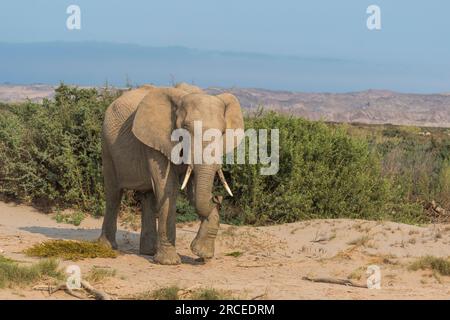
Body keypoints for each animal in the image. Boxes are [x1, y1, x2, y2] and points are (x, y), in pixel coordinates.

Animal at [97, 82, 243, 264]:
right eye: (185, 128)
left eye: (223, 132)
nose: (218, 197)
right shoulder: (157, 140)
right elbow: (169, 190)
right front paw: (169, 262)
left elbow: (193, 192)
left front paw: (201, 252)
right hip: (107, 146)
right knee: (114, 194)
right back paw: (107, 247)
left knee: (148, 196)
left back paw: (148, 252)